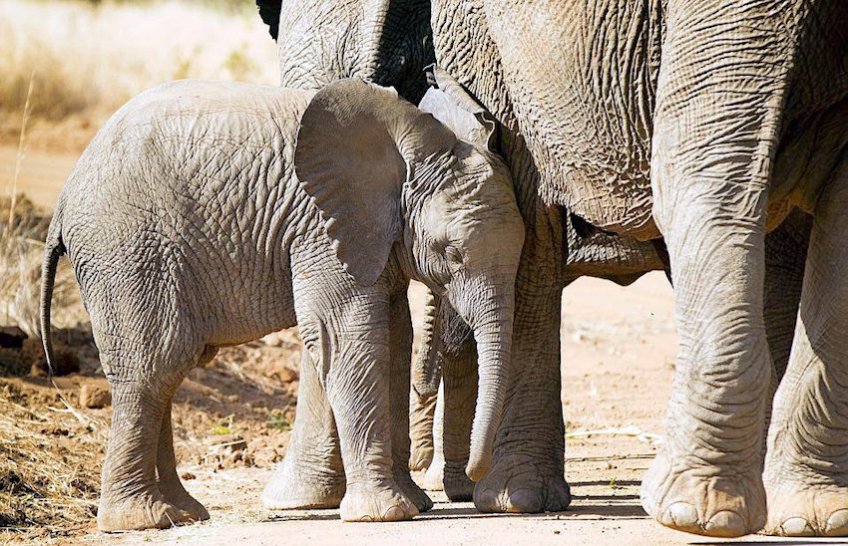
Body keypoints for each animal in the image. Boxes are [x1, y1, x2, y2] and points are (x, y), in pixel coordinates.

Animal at [39, 78, 527, 529]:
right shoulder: (319, 225)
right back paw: (142, 520)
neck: (415, 146)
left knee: (167, 371)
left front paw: (413, 504)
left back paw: (183, 514)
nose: (472, 479)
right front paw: (385, 515)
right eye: (452, 253)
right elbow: (350, 334)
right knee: (151, 366)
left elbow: (393, 337)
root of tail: (62, 202)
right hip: (126, 250)